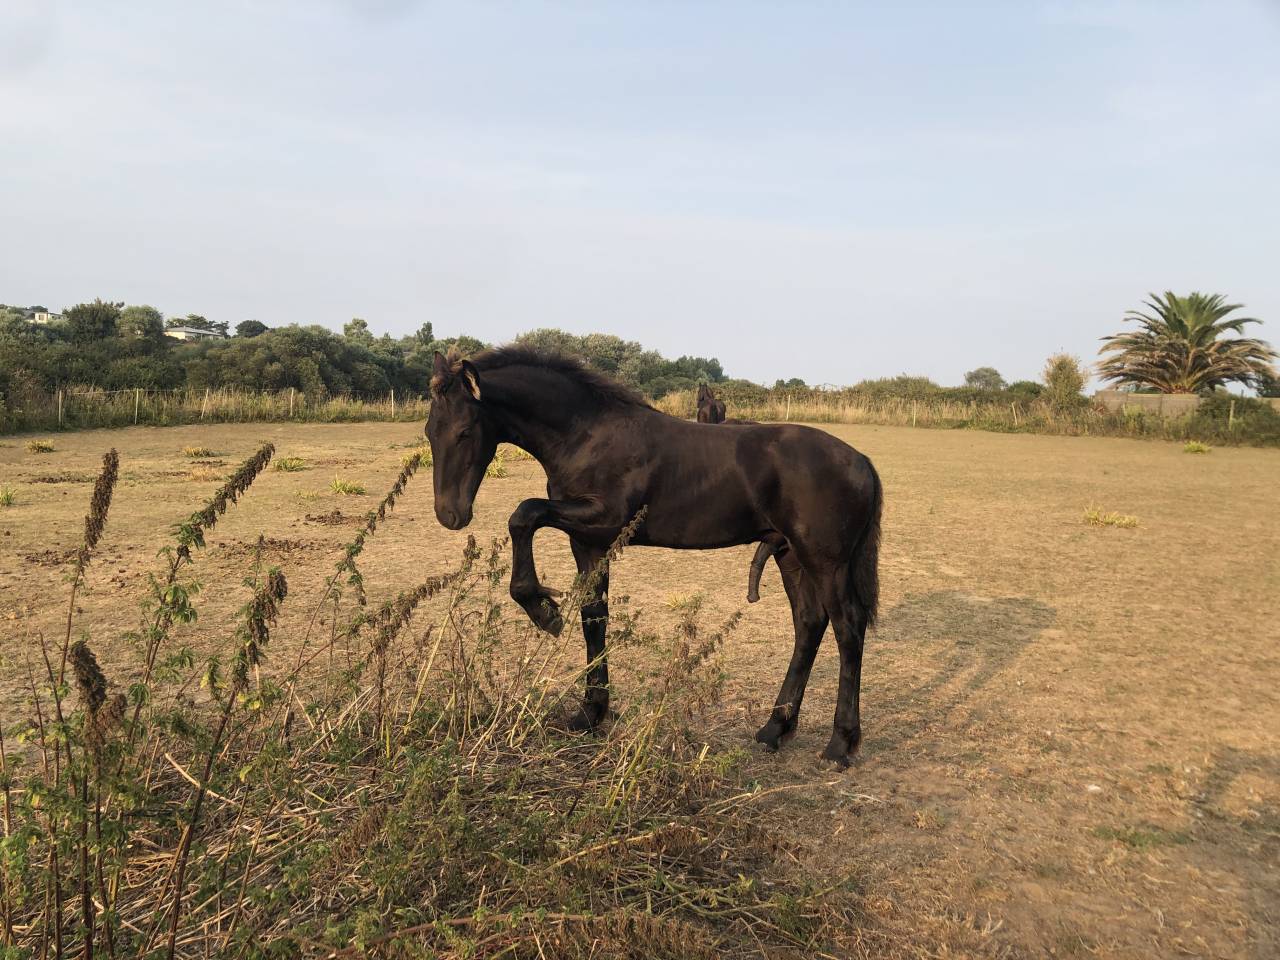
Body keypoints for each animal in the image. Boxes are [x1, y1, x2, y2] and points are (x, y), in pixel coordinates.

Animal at [426, 347, 883, 767]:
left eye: (465, 431)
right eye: (430, 431)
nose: (450, 515)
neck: (587, 435)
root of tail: (862, 461)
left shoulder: (604, 521)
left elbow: (524, 514)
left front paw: (543, 611)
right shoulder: (587, 542)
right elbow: (594, 617)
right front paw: (590, 713)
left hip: (826, 561)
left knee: (847, 628)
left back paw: (841, 743)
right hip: (790, 555)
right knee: (809, 623)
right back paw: (775, 728)